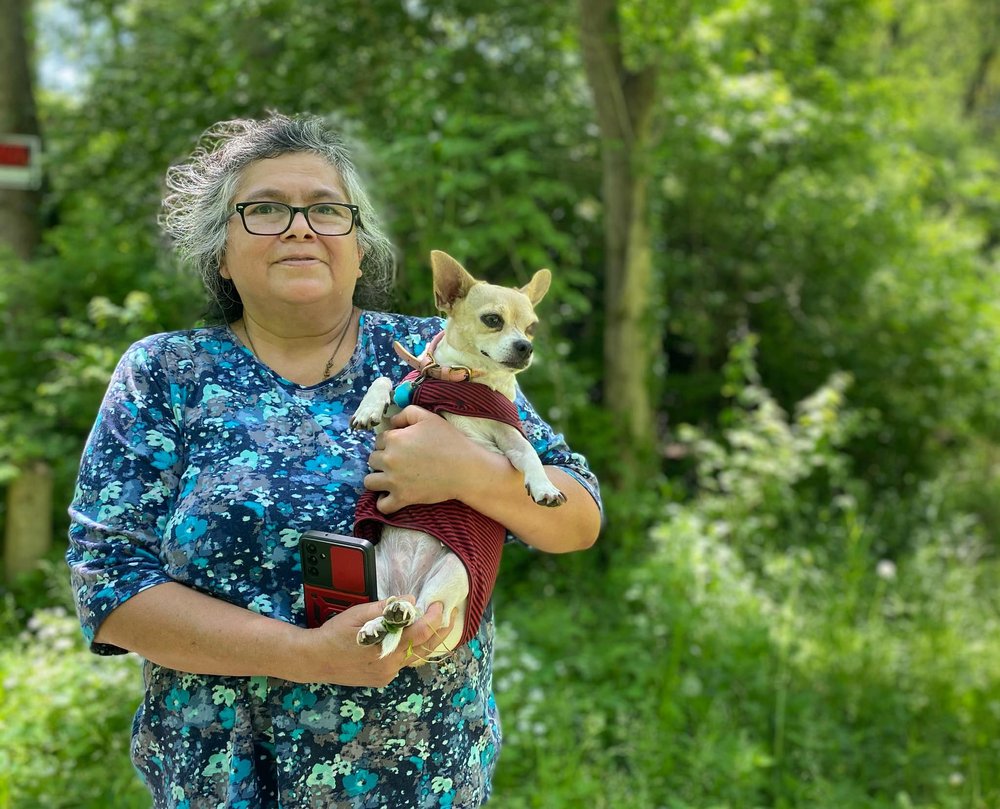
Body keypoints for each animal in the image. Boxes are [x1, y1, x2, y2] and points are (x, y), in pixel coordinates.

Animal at [350, 249, 564, 660]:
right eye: (493, 320)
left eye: (531, 328)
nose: (526, 347)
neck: (458, 380)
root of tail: (408, 587)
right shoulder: (395, 421)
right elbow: (383, 380)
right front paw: (367, 409)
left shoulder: (509, 436)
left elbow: (529, 453)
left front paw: (543, 487)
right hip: (377, 576)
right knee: (386, 612)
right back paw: (375, 625)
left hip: (451, 573)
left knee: (419, 613)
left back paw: (399, 615)